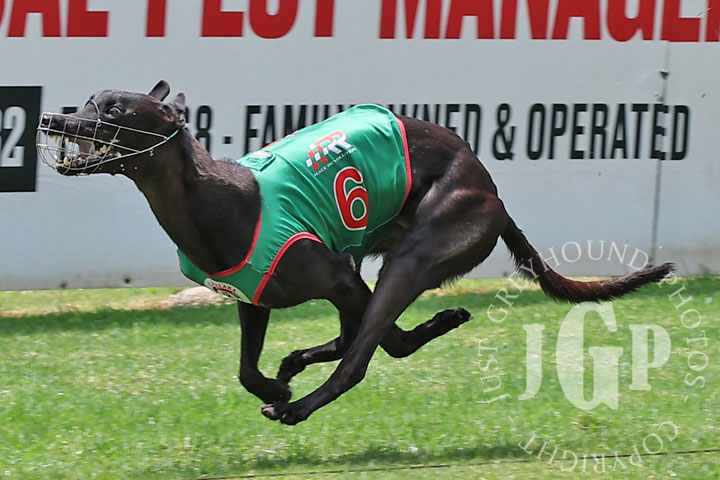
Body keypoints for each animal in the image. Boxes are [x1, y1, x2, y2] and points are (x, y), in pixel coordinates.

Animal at [37, 81, 674, 425]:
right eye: (89, 101)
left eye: (115, 112)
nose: (51, 117)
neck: (213, 197)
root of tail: (491, 189)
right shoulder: (255, 295)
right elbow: (246, 368)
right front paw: (275, 382)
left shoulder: (336, 278)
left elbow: (378, 344)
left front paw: (286, 395)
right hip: (375, 251)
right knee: (362, 336)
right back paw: (300, 368)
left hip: (412, 257)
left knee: (368, 351)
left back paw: (306, 400)